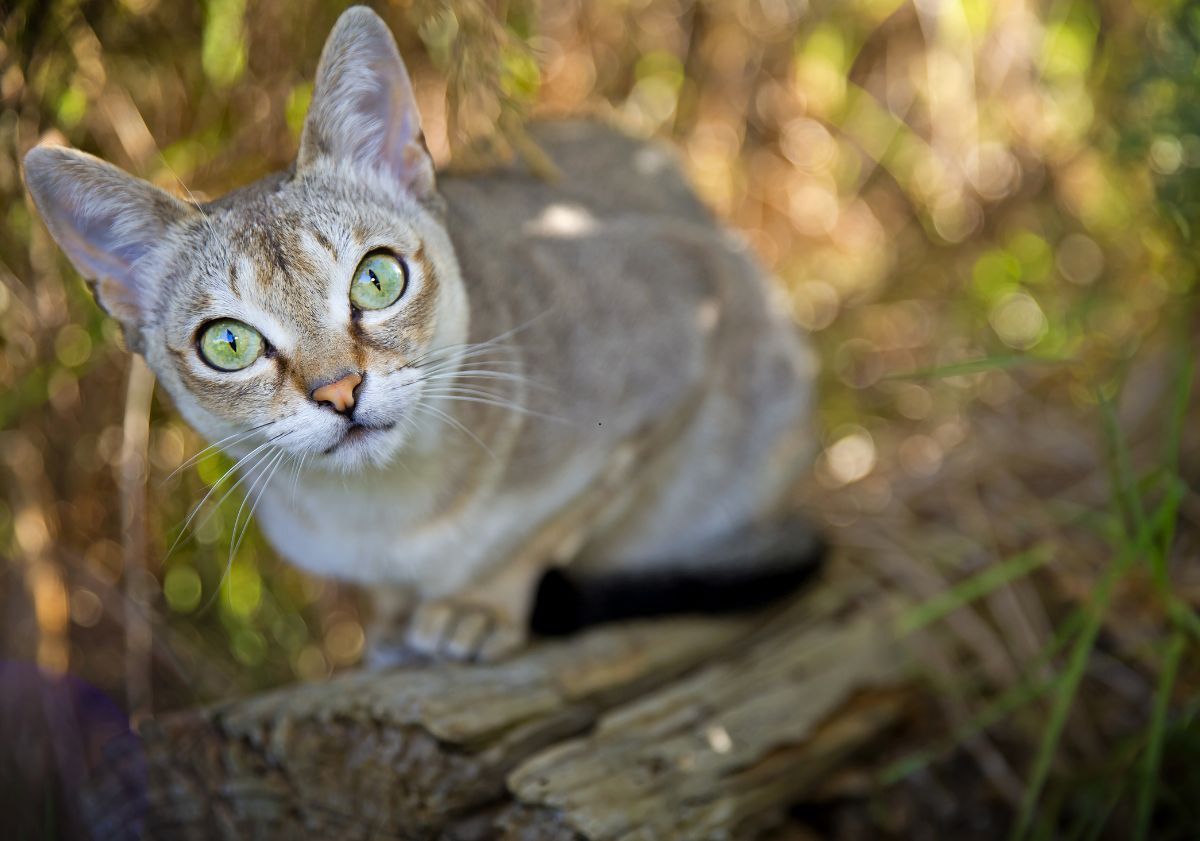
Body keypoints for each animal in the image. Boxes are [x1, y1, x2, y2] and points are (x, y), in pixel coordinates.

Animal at [23, 6, 820, 662]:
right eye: (228, 344)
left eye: (377, 279)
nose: (340, 391)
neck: (386, 517)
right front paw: (393, 622)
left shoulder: (686, 320)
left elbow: (552, 527)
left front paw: (477, 606)